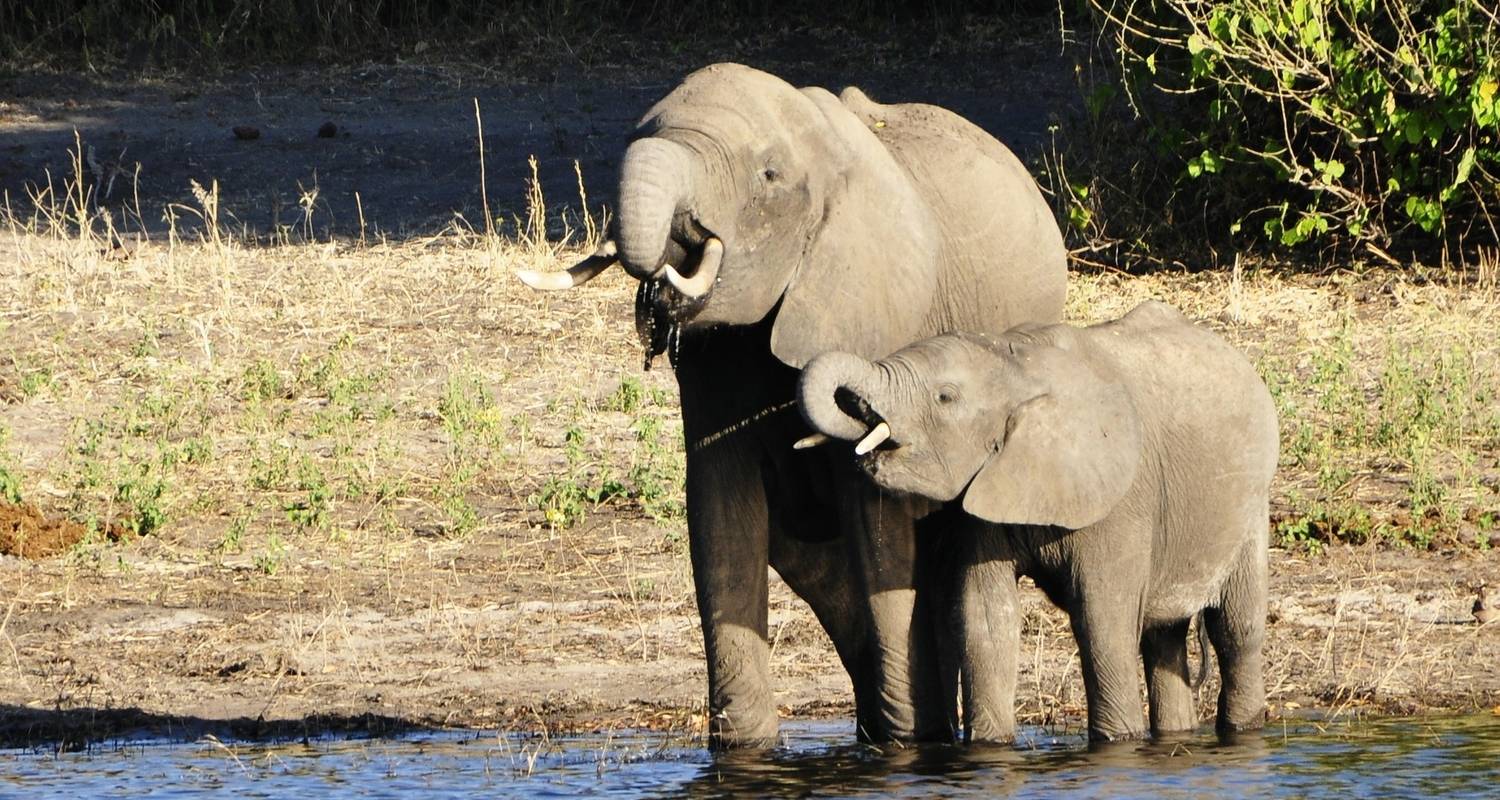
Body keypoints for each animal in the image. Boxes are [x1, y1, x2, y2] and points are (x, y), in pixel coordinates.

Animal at [798, 301, 1278, 741]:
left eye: (945, 397)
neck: (1017, 365)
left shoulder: (1121, 499)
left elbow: (1103, 620)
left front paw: (1118, 742)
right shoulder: (986, 490)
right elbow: (986, 618)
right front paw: (990, 747)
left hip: (1251, 506)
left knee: (1236, 629)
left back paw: (1241, 730)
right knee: (1163, 637)